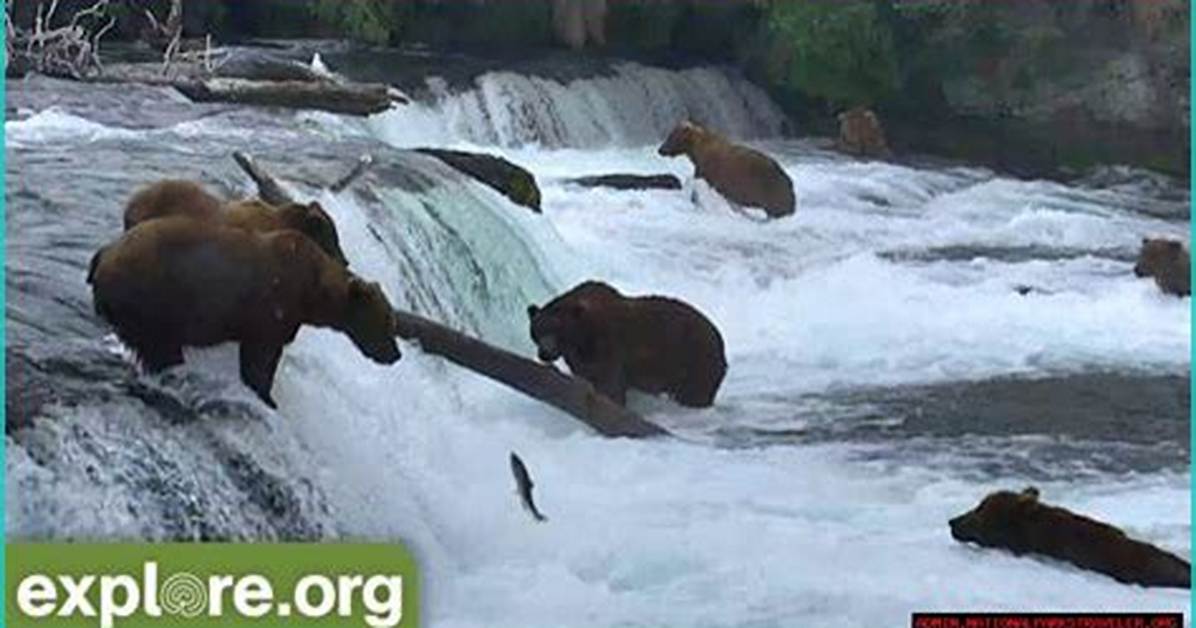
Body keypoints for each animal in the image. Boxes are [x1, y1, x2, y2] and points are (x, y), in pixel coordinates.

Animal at [88, 217, 400, 408]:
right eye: (386, 320)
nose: (395, 354)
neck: (313, 293)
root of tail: (105, 254)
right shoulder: (273, 307)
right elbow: (260, 358)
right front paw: (266, 396)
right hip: (151, 295)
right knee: (160, 344)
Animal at [526, 281, 727, 408]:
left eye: (558, 330)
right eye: (538, 330)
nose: (544, 353)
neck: (583, 337)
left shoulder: (610, 346)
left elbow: (610, 385)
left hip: (694, 362)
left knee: (694, 394)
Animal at [657, 120, 796, 219]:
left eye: (671, 136)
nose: (660, 149)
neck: (697, 150)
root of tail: (787, 179)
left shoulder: (710, 169)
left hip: (770, 190)